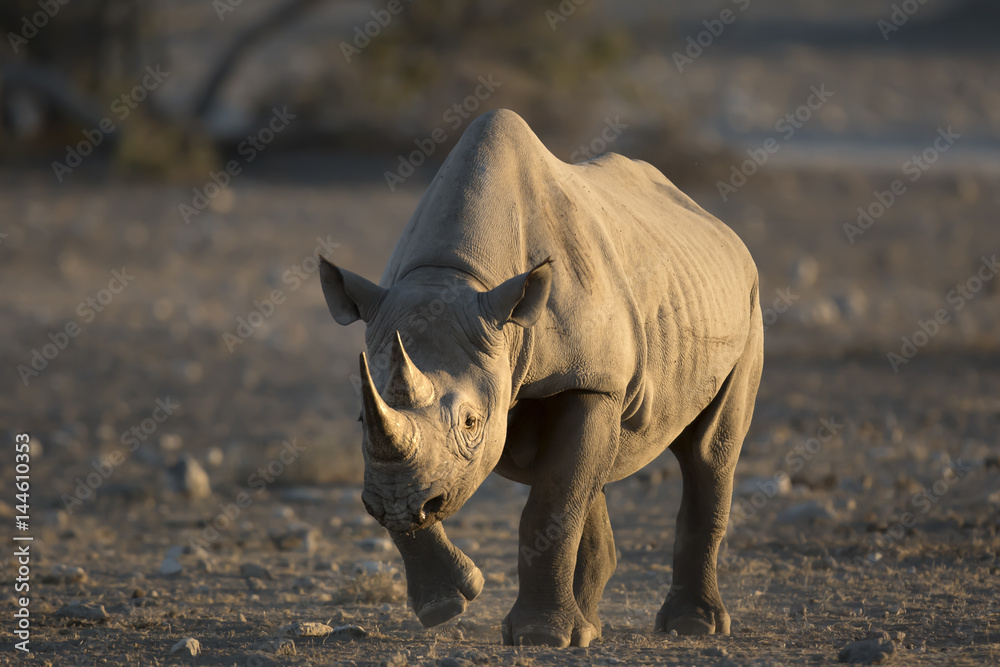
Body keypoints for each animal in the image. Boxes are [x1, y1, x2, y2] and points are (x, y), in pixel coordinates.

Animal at [319, 109, 762, 647]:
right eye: (361, 420)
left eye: (471, 423)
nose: (397, 503)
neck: (458, 277)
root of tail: (718, 226)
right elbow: (444, 481)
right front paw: (446, 605)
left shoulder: (592, 380)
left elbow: (552, 503)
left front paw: (540, 636)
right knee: (595, 471)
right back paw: (589, 628)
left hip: (749, 301)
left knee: (707, 453)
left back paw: (692, 626)